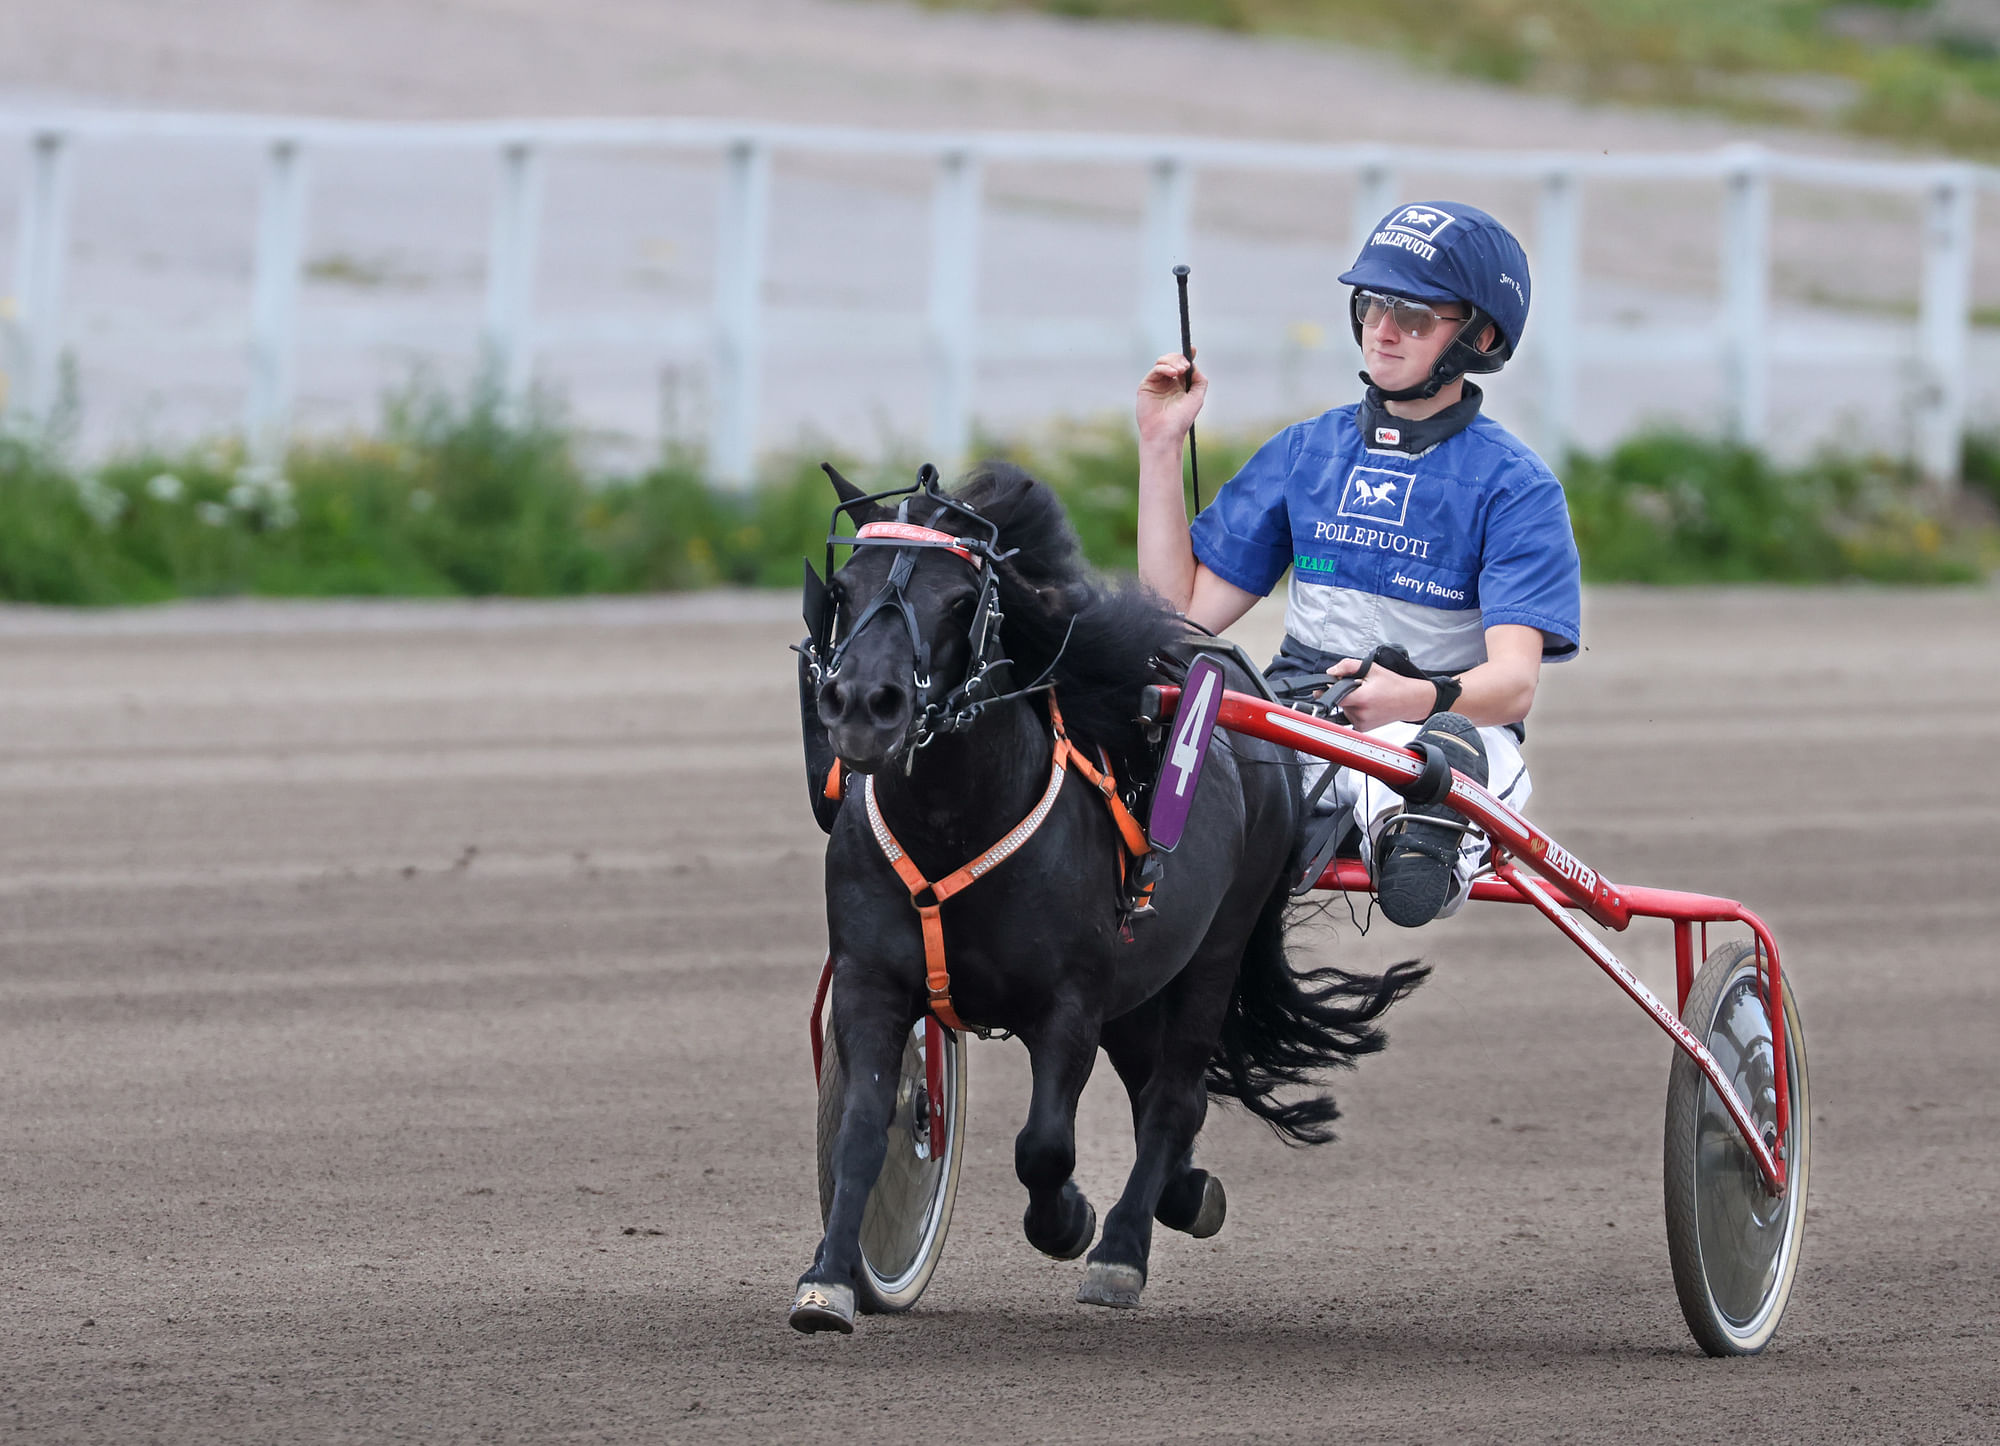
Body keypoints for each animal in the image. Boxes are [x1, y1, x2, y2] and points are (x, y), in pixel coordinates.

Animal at [796, 466, 1424, 1336]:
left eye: (961, 599)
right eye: (845, 589)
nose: (862, 703)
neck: (953, 826)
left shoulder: (1071, 1002)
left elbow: (1043, 1145)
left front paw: (1070, 1221)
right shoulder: (871, 980)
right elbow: (863, 1125)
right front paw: (829, 1276)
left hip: (1214, 950)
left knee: (1176, 1093)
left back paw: (1125, 1245)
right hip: (1143, 981)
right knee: (1152, 1083)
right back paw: (1182, 1192)